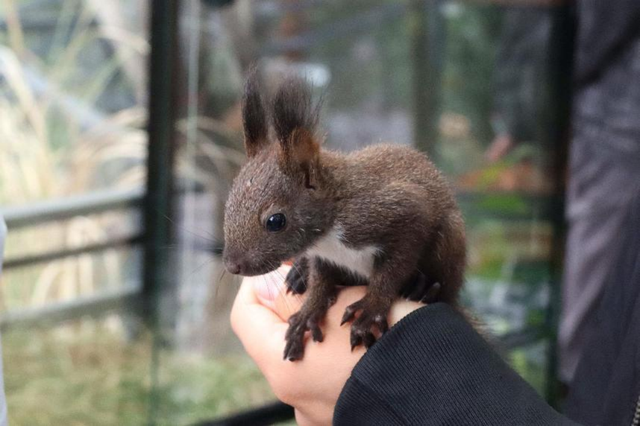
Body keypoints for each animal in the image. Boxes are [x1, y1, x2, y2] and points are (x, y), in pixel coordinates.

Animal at [225, 73, 464, 360]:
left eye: (275, 221)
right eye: (228, 204)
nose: (232, 266)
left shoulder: (396, 213)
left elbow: (394, 267)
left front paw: (371, 308)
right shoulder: (324, 256)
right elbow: (320, 279)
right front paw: (307, 312)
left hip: (450, 240)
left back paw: (424, 287)